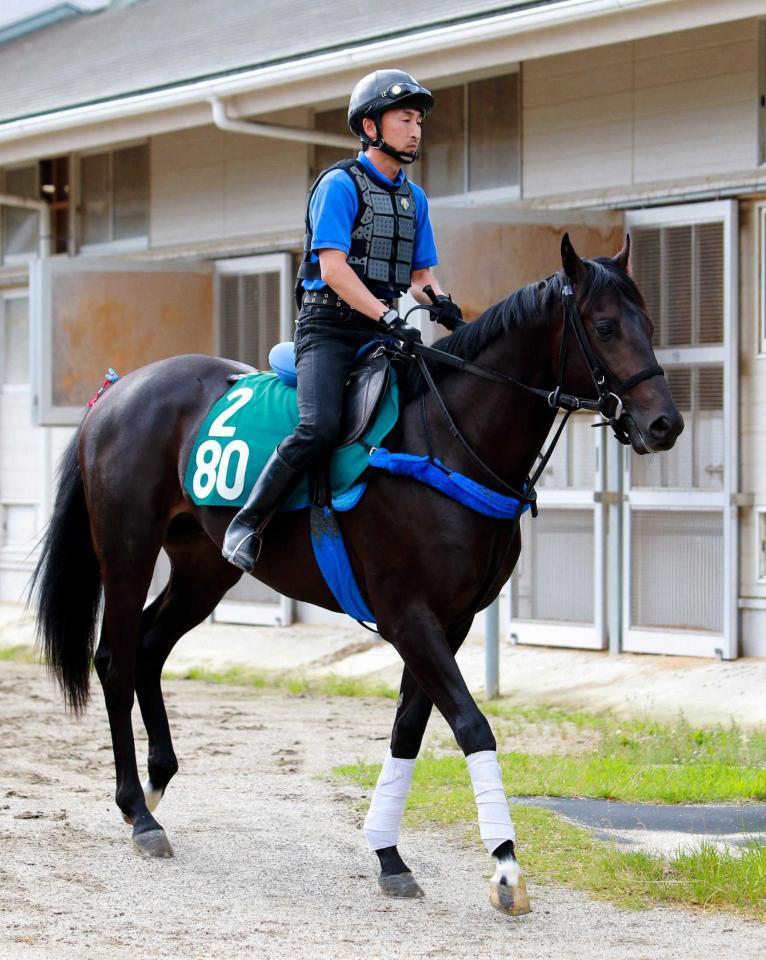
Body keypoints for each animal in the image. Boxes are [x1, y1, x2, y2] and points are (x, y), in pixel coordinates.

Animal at [33, 232, 688, 916]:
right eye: (606, 326)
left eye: (647, 323)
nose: (665, 424)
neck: (444, 441)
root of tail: (117, 391)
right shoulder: (409, 617)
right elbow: (470, 724)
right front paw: (506, 865)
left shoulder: (450, 623)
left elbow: (408, 731)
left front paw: (388, 853)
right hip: (128, 552)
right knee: (115, 659)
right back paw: (138, 811)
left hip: (202, 568)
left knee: (151, 647)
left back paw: (159, 781)